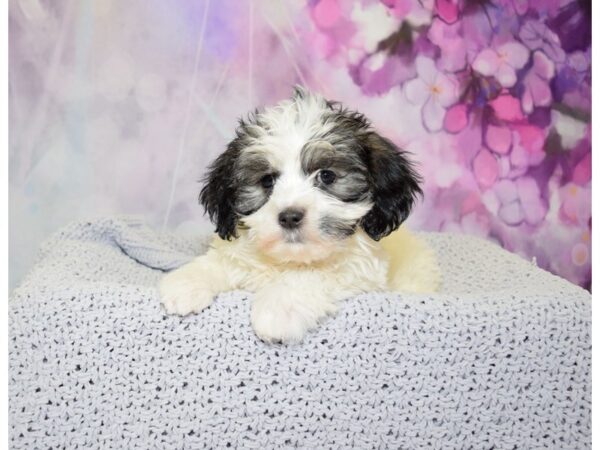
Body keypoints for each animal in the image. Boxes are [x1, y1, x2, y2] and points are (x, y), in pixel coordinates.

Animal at [161, 87, 440, 342]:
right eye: (267, 180)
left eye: (326, 176)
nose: (289, 216)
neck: (288, 261)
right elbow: (220, 262)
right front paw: (185, 283)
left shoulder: (359, 273)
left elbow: (310, 276)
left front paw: (278, 309)